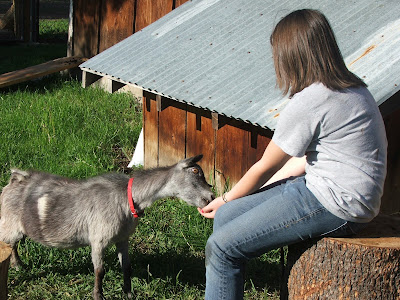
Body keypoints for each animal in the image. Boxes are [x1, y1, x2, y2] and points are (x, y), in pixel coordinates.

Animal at [0, 155, 214, 300]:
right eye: (196, 172)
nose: (211, 196)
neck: (127, 198)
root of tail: (15, 179)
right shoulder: (98, 239)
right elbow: (99, 271)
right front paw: (98, 296)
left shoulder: (123, 238)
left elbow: (126, 266)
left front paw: (129, 293)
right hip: (8, 224)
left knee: (13, 245)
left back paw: (18, 265)